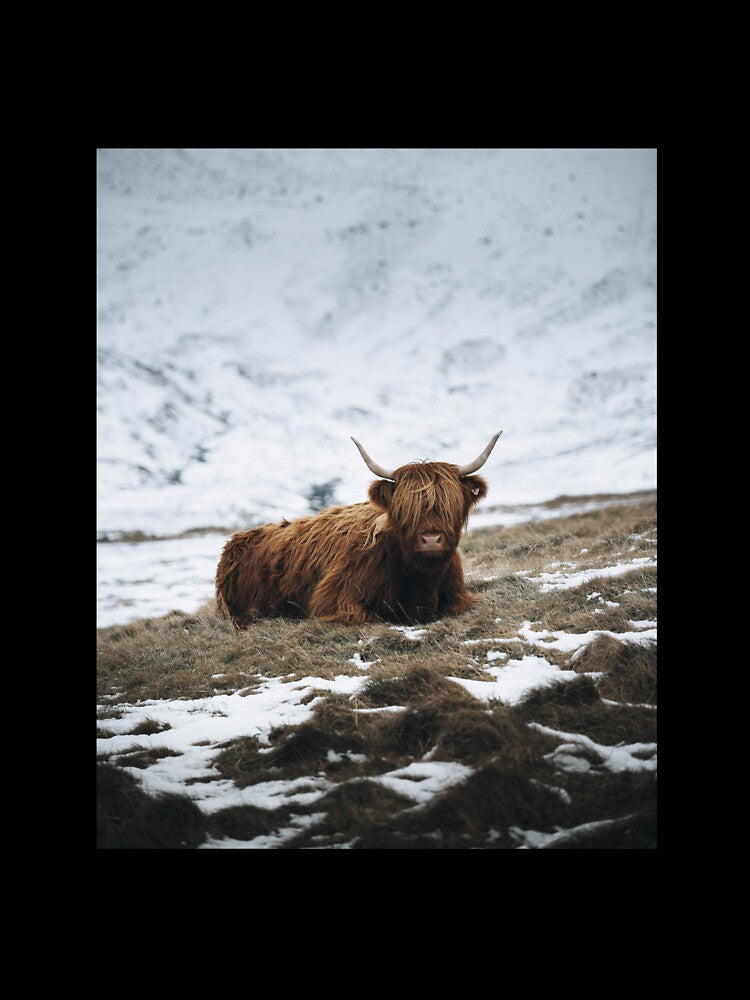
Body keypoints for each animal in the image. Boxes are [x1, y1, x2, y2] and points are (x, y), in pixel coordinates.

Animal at [215, 432, 502, 627]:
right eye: (403, 508)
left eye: (451, 503)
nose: (431, 540)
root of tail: (237, 539)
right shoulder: (334, 600)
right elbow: (365, 616)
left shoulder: (459, 596)